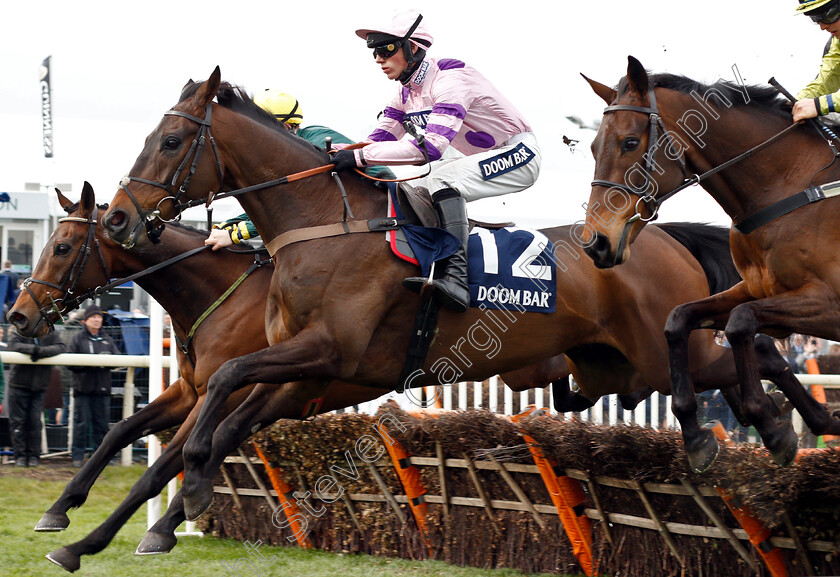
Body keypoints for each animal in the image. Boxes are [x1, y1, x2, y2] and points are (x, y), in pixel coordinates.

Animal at [98, 66, 808, 516]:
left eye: (170, 140)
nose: (119, 219)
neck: (321, 223)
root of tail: (653, 235)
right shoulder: (305, 368)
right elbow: (224, 401)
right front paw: (181, 487)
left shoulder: (328, 351)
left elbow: (222, 382)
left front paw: (189, 480)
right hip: (610, 370)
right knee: (738, 352)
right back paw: (774, 427)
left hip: (652, 356)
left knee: (743, 353)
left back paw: (772, 428)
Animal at [584, 55, 840, 472]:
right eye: (593, 147)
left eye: (630, 142)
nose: (596, 243)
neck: (791, 185)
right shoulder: (755, 289)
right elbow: (680, 320)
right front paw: (697, 435)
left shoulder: (829, 304)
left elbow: (740, 323)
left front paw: (770, 424)